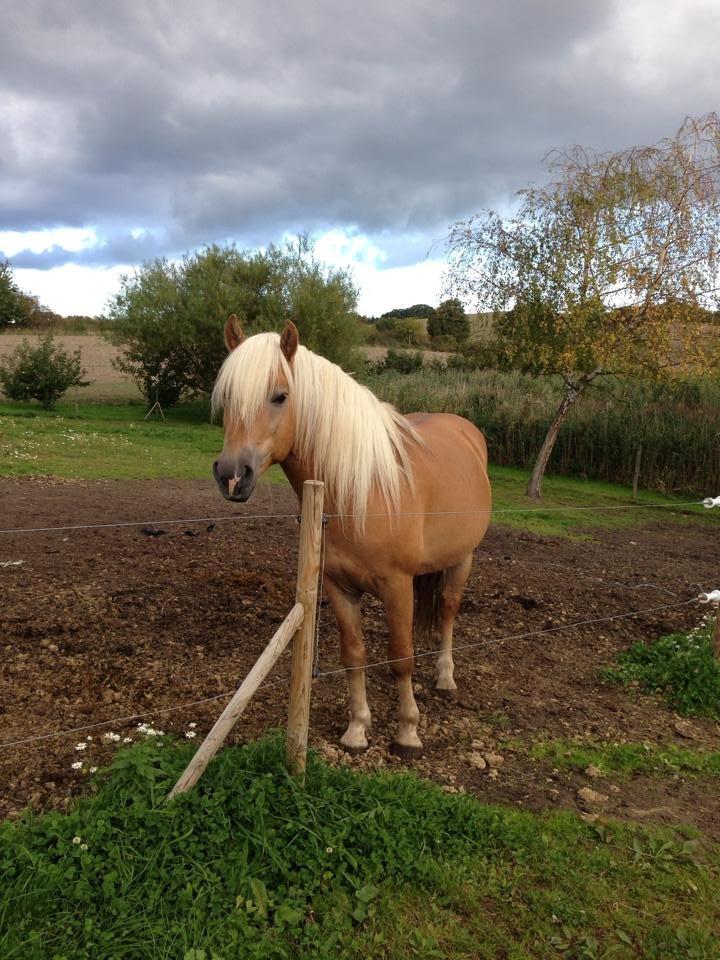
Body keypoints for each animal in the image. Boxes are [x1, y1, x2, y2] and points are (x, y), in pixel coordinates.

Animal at [211, 316, 492, 756]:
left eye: (280, 396)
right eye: (227, 398)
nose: (231, 475)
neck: (361, 490)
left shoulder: (397, 585)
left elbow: (401, 657)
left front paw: (408, 732)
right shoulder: (339, 587)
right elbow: (354, 654)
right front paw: (357, 729)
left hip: (463, 557)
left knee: (448, 609)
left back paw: (446, 678)